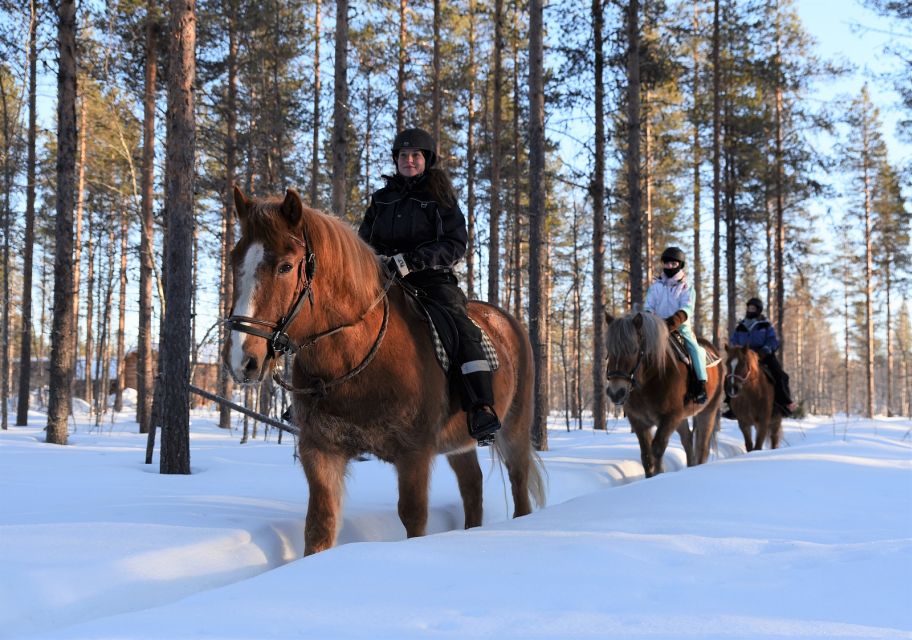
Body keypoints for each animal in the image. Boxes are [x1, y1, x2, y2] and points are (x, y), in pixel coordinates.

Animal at [224, 186, 544, 556]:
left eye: (285, 266)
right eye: (234, 260)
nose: (242, 359)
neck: (355, 361)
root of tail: (507, 321)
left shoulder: (414, 453)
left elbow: (413, 516)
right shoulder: (319, 450)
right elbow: (319, 525)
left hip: (514, 428)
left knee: (518, 486)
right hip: (459, 442)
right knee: (472, 487)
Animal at [604, 310, 728, 476]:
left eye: (634, 349)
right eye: (609, 350)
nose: (616, 393)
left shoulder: (670, 417)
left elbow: (657, 449)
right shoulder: (638, 420)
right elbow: (646, 456)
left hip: (707, 412)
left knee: (702, 447)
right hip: (682, 418)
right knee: (688, 440)